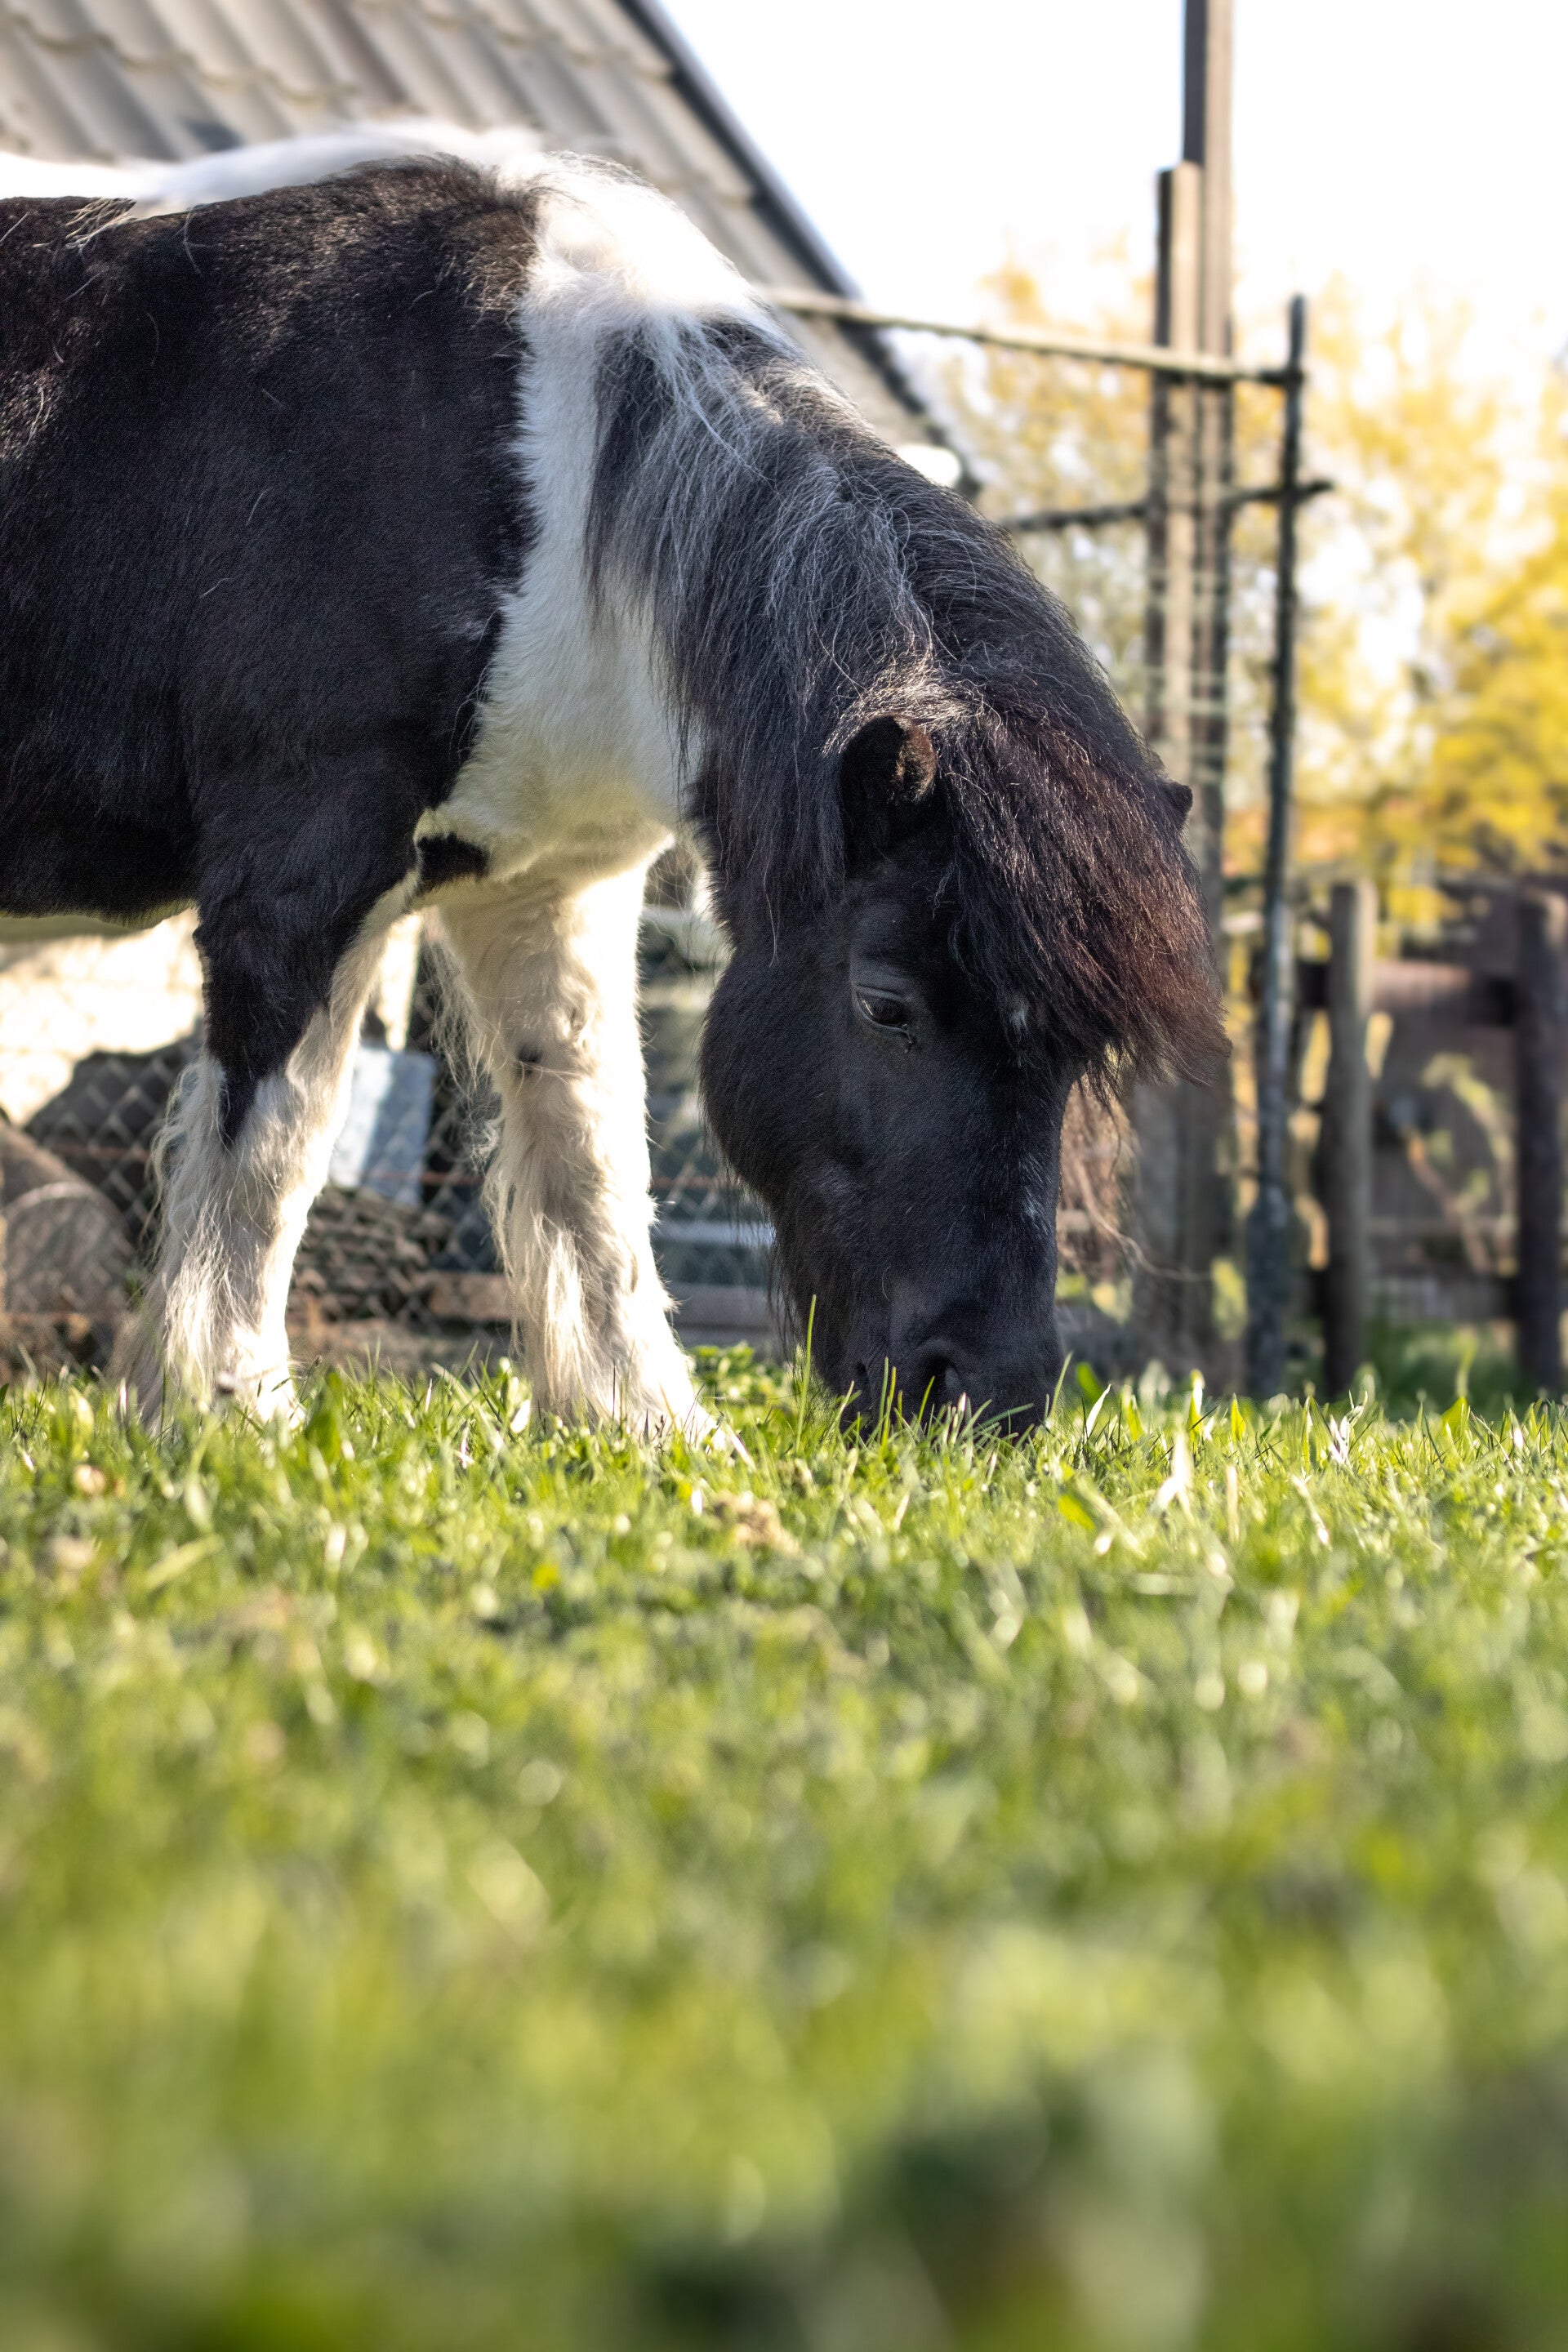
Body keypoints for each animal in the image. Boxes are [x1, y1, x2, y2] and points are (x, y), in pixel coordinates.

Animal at [0, 139, 1223, 1432]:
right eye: (887, 1005)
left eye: (1079, 1058)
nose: (988, 1396)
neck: (526, 469)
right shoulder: (302, 868)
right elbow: (276, 1142)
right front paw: (231, 1409)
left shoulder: (549, 888)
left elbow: (593, 1157)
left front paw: (647, 1423)